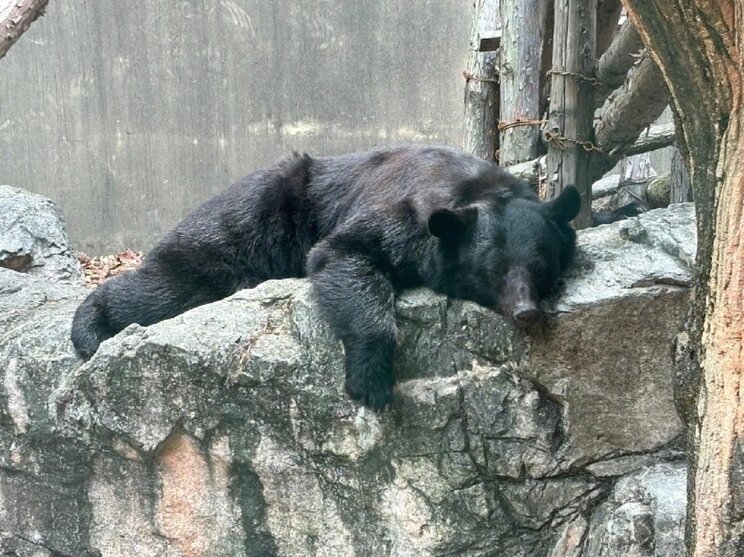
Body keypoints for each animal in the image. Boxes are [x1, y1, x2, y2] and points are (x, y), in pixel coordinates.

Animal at [71, 146, 580, 410]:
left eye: (541, 266)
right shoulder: (406, 216)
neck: (476, 188)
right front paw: (372, 384)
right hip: (254, 220)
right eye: (492, 270)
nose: (526, 311)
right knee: (177, 281)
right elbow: (344, 253)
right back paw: (90, 326)